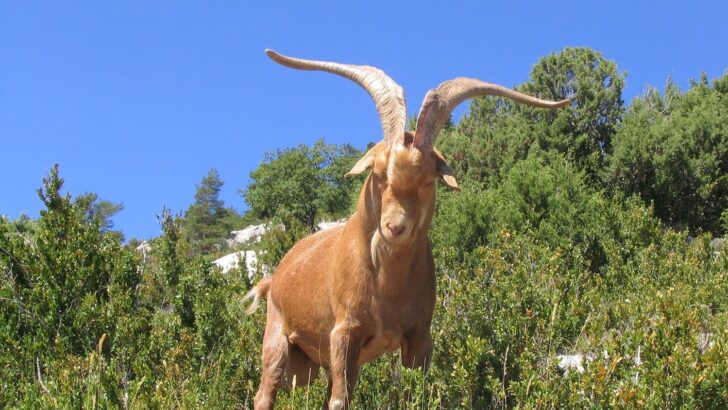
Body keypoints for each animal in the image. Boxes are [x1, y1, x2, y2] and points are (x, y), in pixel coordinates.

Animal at [245, 49, 569, 410]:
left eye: (428, 181)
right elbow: (340, 401)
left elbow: (413, 395)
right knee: (265, 392)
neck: (386, 285)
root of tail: (276, 275)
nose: (394, 227)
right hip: (277, 338)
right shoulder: (344, 331)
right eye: (377, 174)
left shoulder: (418, 336)